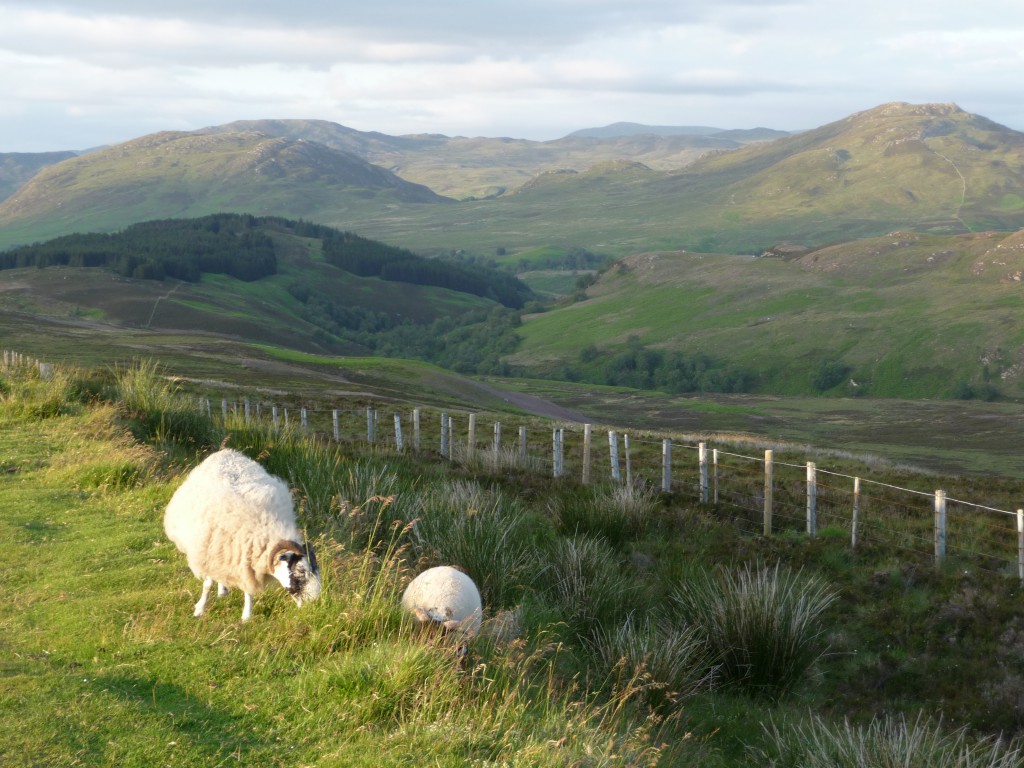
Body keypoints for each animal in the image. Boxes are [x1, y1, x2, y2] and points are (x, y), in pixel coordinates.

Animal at [163, 448, 319, 622]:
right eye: (301, 571)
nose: (313, 603)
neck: (261, 530)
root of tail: (227, 451)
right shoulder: (207, 554)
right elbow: (207, 585)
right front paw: (200, 609)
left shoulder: (245, 563)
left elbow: (248, 590)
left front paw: (246, 616)